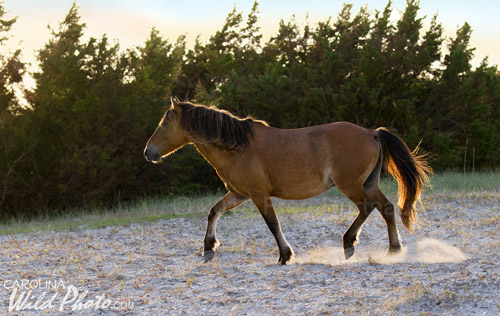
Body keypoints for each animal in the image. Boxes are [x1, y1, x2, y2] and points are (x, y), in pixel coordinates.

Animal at [144, 96, 430, 264]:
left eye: (165, 124)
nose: (148, 152)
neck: (238, 146)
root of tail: (371, 132)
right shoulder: (239, 193)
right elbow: (214, 212)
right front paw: (208, 247)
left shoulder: (259, 195)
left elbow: (273, 224)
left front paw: (284, 255)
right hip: (368, 183)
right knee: (386, 208)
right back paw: (393, 249)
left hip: (351, 185)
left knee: (368, 208)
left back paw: (349, 243)